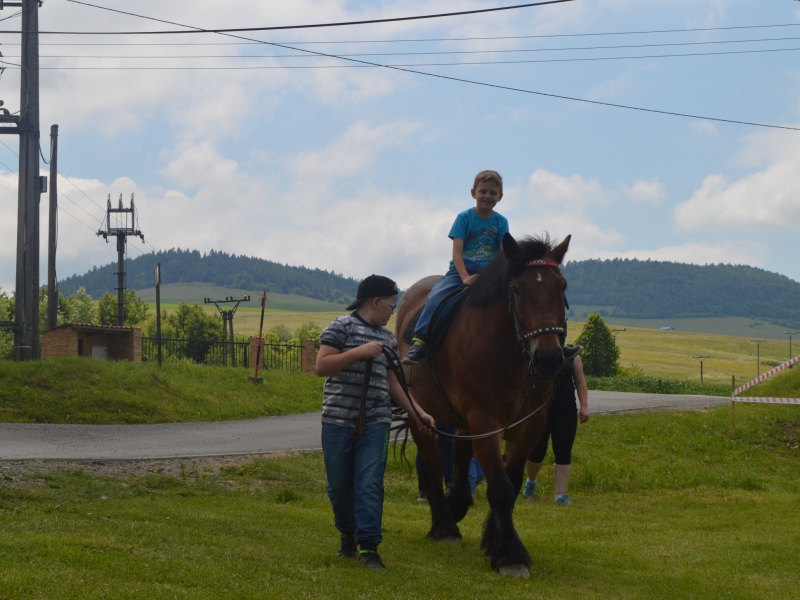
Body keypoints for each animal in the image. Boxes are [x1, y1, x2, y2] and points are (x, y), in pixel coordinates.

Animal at [398, 233, 572, 576]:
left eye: (561, 286)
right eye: (517, 289)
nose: (548, 358)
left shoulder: (531, 424)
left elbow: (512, 482)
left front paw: (495, 539)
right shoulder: (485, 420)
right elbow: (501, 488)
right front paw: (510, 553)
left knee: (460, 453)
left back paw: (456, 503)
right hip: (421, 413)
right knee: (433, 461)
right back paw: (444, 526)